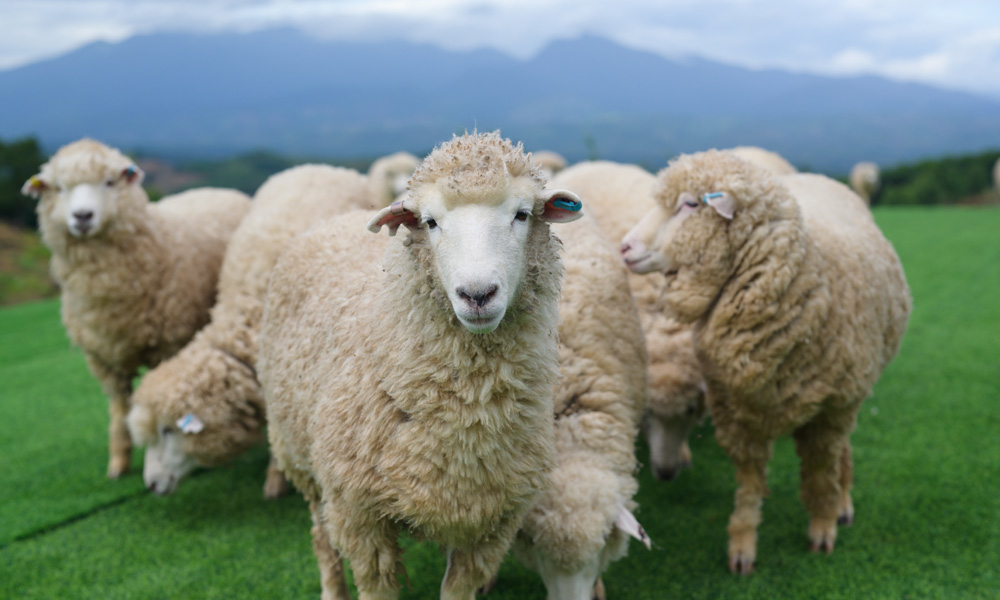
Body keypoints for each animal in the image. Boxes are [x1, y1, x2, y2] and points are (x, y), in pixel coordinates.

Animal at [22, 137, 252, 478]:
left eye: (109, 182)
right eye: (59, 188)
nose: (82, 216)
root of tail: (215, 188)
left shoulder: (169, 344)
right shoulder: (103, 360)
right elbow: (119, 409)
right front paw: (118, 463)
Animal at [258, 132, 584, 600]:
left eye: (522, 214)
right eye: (430, 222)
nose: (477, 294)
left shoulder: (491, 523)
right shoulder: (360, 518)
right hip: (302, 461)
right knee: (322, 538)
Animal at [624, 149, 916, 572]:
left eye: (690, 204)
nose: (624, 248)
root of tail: (818, 176)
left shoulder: (828, 412)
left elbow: (820, 473)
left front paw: (823, 527)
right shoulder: (735, 412)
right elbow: (748, 483)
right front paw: (743, 544)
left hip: (850, 393)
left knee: (842, 450)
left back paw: (842, 501)